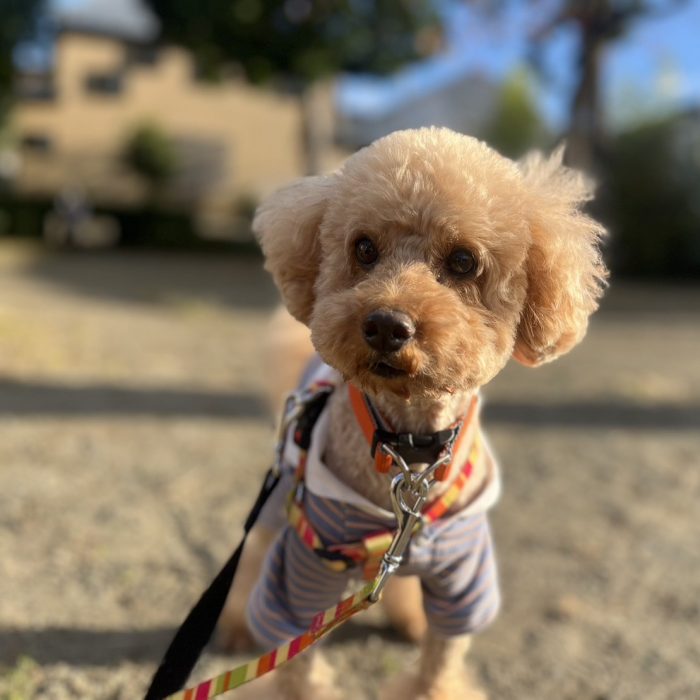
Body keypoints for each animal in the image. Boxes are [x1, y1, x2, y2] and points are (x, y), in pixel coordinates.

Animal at [217, 127, 608, 700]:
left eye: (464, 260)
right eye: (363, 248)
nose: (385, 324)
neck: (409, 448)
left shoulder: (464, 575)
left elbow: (440, 661)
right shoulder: (308, 560)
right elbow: (295, 663)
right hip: (283, 490)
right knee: (254, 547)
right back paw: (234, 624)